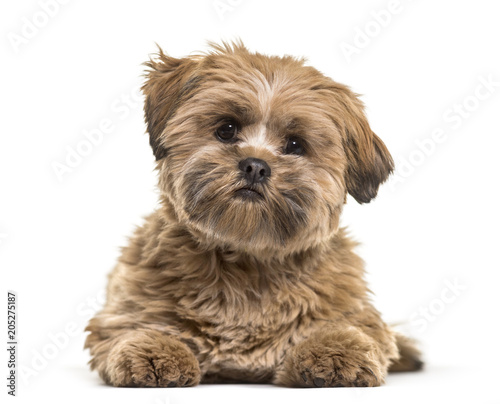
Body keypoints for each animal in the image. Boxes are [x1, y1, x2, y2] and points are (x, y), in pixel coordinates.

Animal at [85, 41, 422, 388]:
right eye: (226, 129)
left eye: (295, 144)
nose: (256, 166)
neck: (247, 259)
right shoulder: (123, 308)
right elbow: (134, 324)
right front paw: (154, 350)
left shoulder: (354, 310)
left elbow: (348, 328)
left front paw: (336, 352)